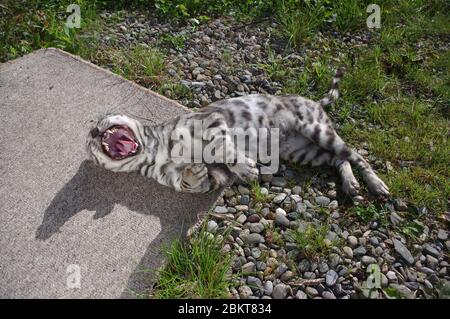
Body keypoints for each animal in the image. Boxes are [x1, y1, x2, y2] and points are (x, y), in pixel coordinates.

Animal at [86, 68, 388, 198]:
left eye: (99, 121)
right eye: (88, 145)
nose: (92, 130)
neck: (156, 150)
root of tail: (314, 101)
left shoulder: (211, 122)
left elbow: (225, 150)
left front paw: (246, 168)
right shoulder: (213, 178)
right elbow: (191, 181)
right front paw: (193, 171)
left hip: (316, 129)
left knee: (357, 156)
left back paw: (376, 185)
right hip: (304, 152)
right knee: (339, 160)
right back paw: (351, 185)